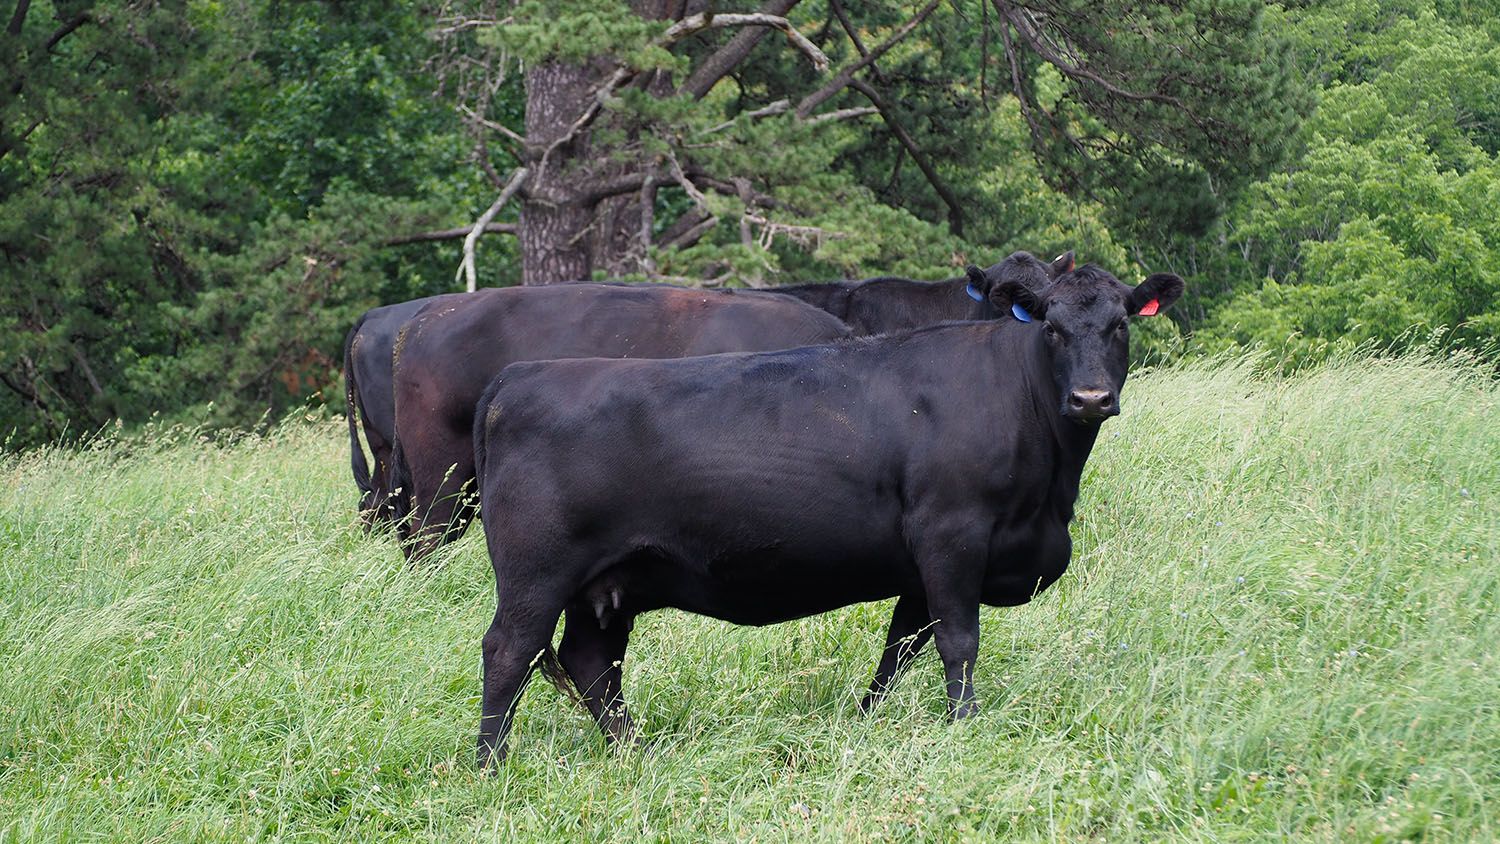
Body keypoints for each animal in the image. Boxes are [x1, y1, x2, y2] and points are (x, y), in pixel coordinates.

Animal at [471, 262, 1182, 767]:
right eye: (1051, 327)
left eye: (1120, 324)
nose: (1089, 398)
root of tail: (517, 378)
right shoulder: (952, 534)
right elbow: (958, 641)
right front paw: (966, 728)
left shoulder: (918, 566)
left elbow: (901, 647)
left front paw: (865, 721)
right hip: (538, 572)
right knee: (510, 652)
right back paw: (490, 767)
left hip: (610, 583)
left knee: (593, 663)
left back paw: (635, 754)